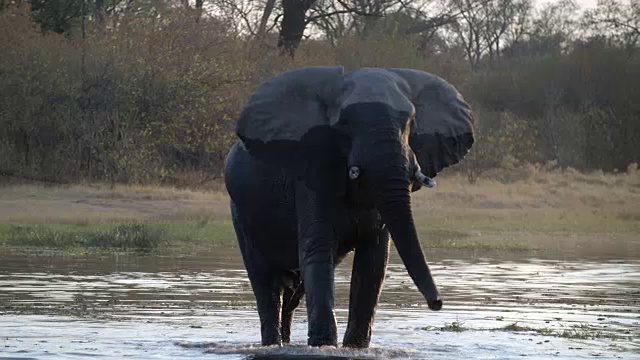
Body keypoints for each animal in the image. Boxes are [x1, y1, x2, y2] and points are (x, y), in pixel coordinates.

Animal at [222, 66, 472, 348]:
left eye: (410, 123)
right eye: (344, 124)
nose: (437, 304)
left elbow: (373, 264)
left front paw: (355, 347)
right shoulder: (312, 173)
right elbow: (319, 252)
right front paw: (323, 346)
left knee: (293, 291)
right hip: (240, 213)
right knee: (265, 283)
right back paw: (273, 343)